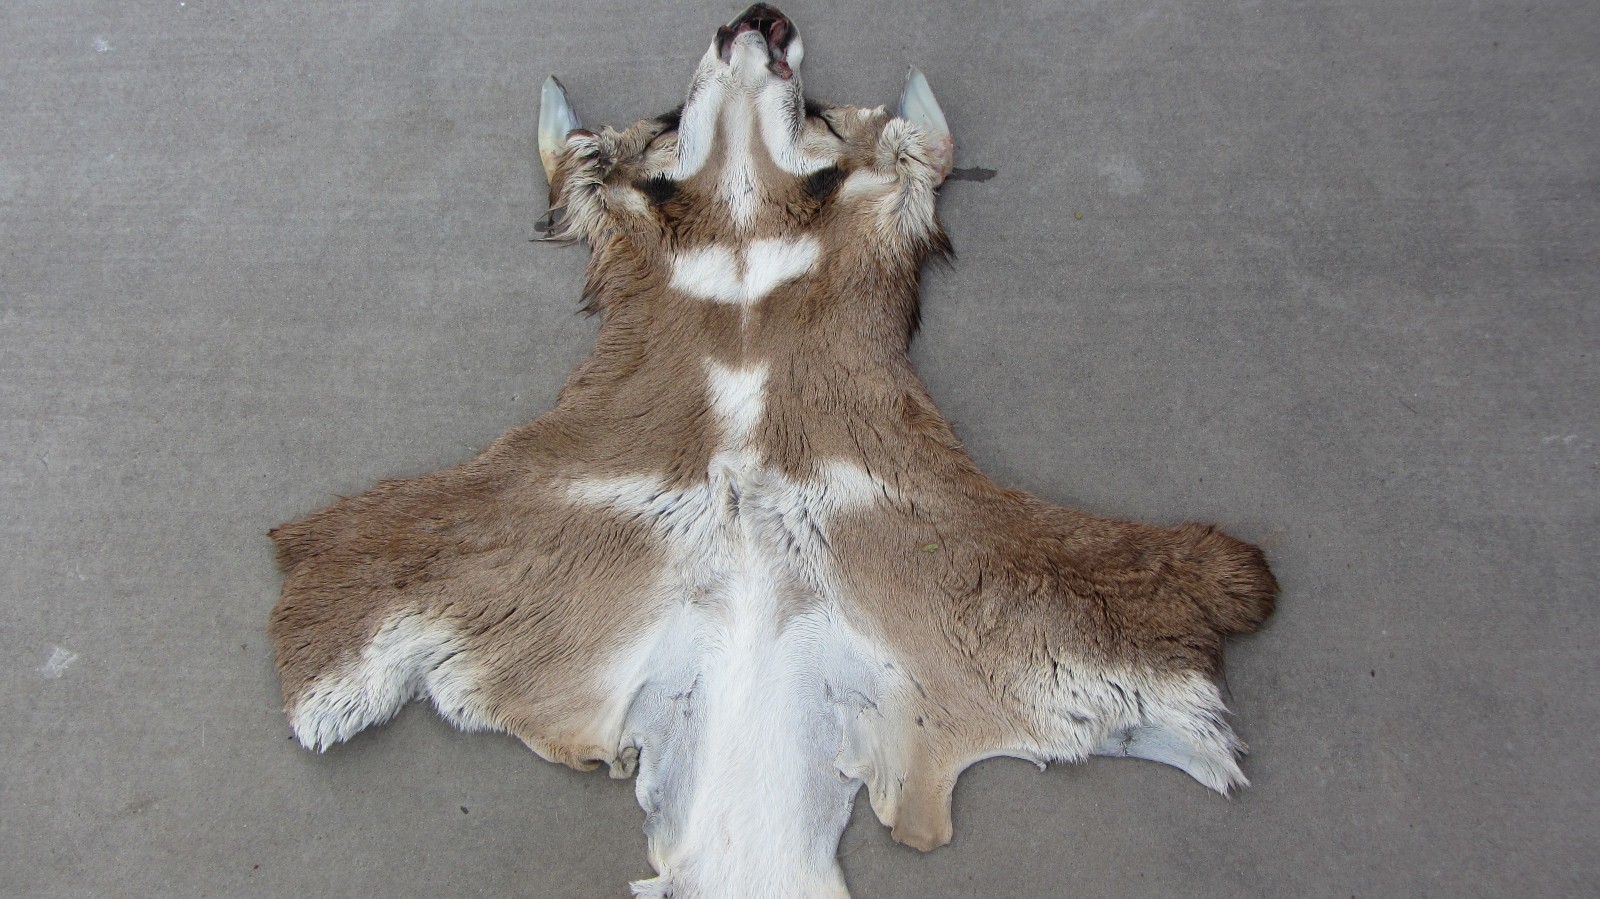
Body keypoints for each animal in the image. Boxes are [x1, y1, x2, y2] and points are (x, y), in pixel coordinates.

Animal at [268, 5, 1277, 896]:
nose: (759, 17)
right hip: (424, 547)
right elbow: (583, 165)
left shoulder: (889, 195)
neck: (748, 217)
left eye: (821, 107)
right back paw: (324, 707)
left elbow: (915, 148)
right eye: (667, 116)